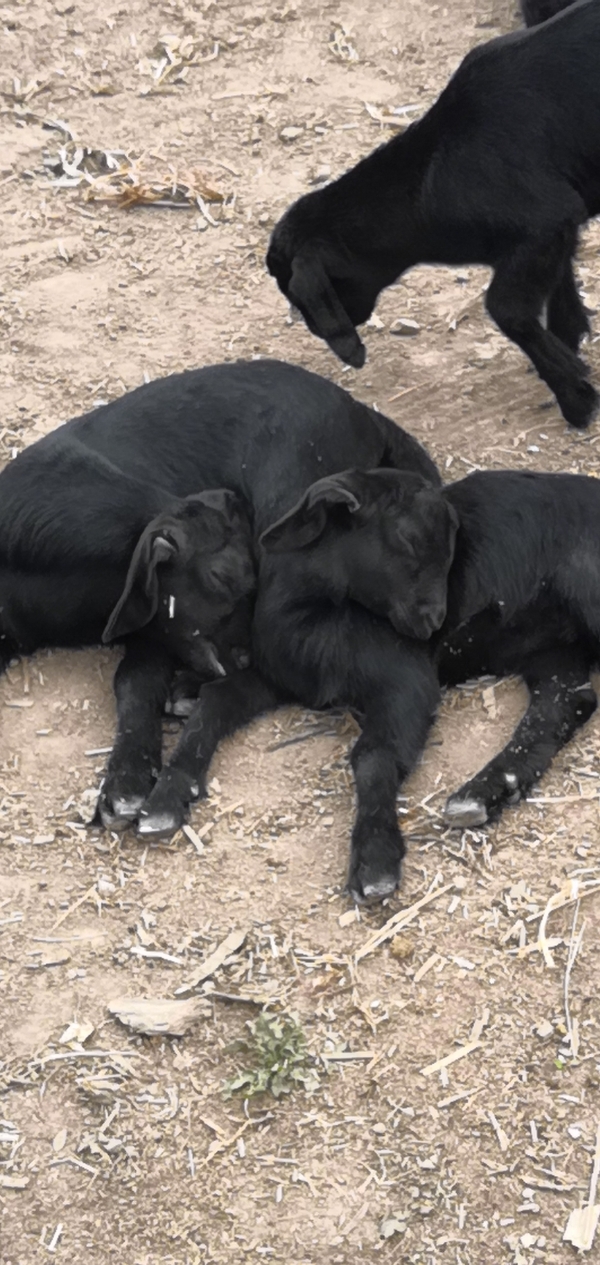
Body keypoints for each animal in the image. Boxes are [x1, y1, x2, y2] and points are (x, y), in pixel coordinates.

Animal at [267, 0, 600, 430]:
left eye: (292, 289)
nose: (311, 328)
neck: (427, 178)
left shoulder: (541, 226)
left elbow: (506, 309)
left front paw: (574, 395)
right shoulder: (555, 229)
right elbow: (561, 293)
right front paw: (571, 352)